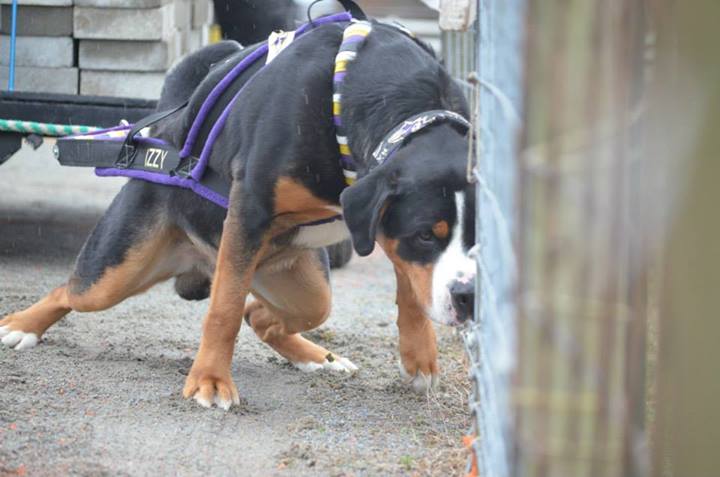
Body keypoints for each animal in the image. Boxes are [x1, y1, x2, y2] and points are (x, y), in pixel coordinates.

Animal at [1, 16, 478, 408]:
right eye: (426, 234)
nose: (469, 297)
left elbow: (409, 287)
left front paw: (419, 355)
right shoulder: (250, 209)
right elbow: (225, 308)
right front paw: (210, 379)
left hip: (299, 279)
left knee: (281, 314)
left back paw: (316, 355)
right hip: (120, 267)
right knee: (69, 291)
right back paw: (20, 326)